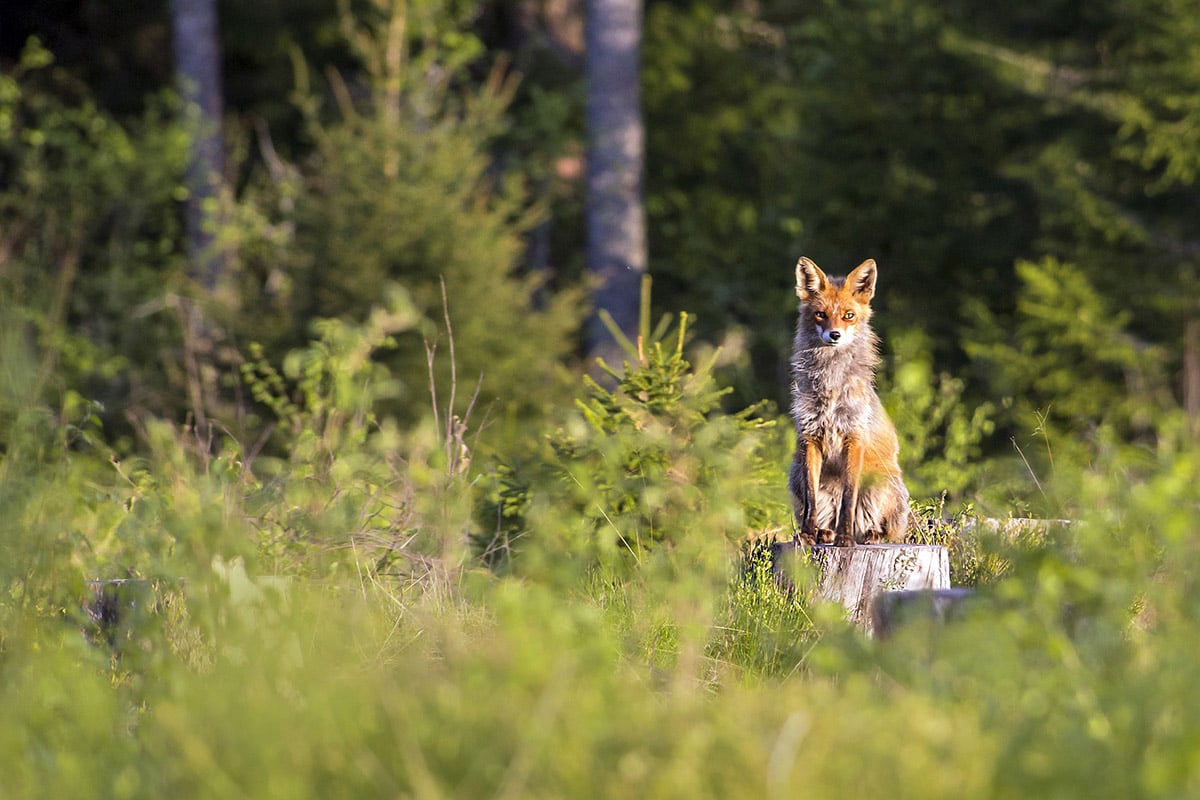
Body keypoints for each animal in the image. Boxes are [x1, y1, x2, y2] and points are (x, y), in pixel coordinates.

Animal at [787, 260, 907, 546]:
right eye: (820, 314)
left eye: (849, 315)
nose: (835, 335)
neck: (831, 385)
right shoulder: (810, 437)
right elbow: (811, 499)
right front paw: (807, 534)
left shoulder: (854, 437)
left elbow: (848, 498)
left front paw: (846, 538)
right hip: (795, 473)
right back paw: (824, 532)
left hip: (882, 484)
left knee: (888, 530)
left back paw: (872, 534)